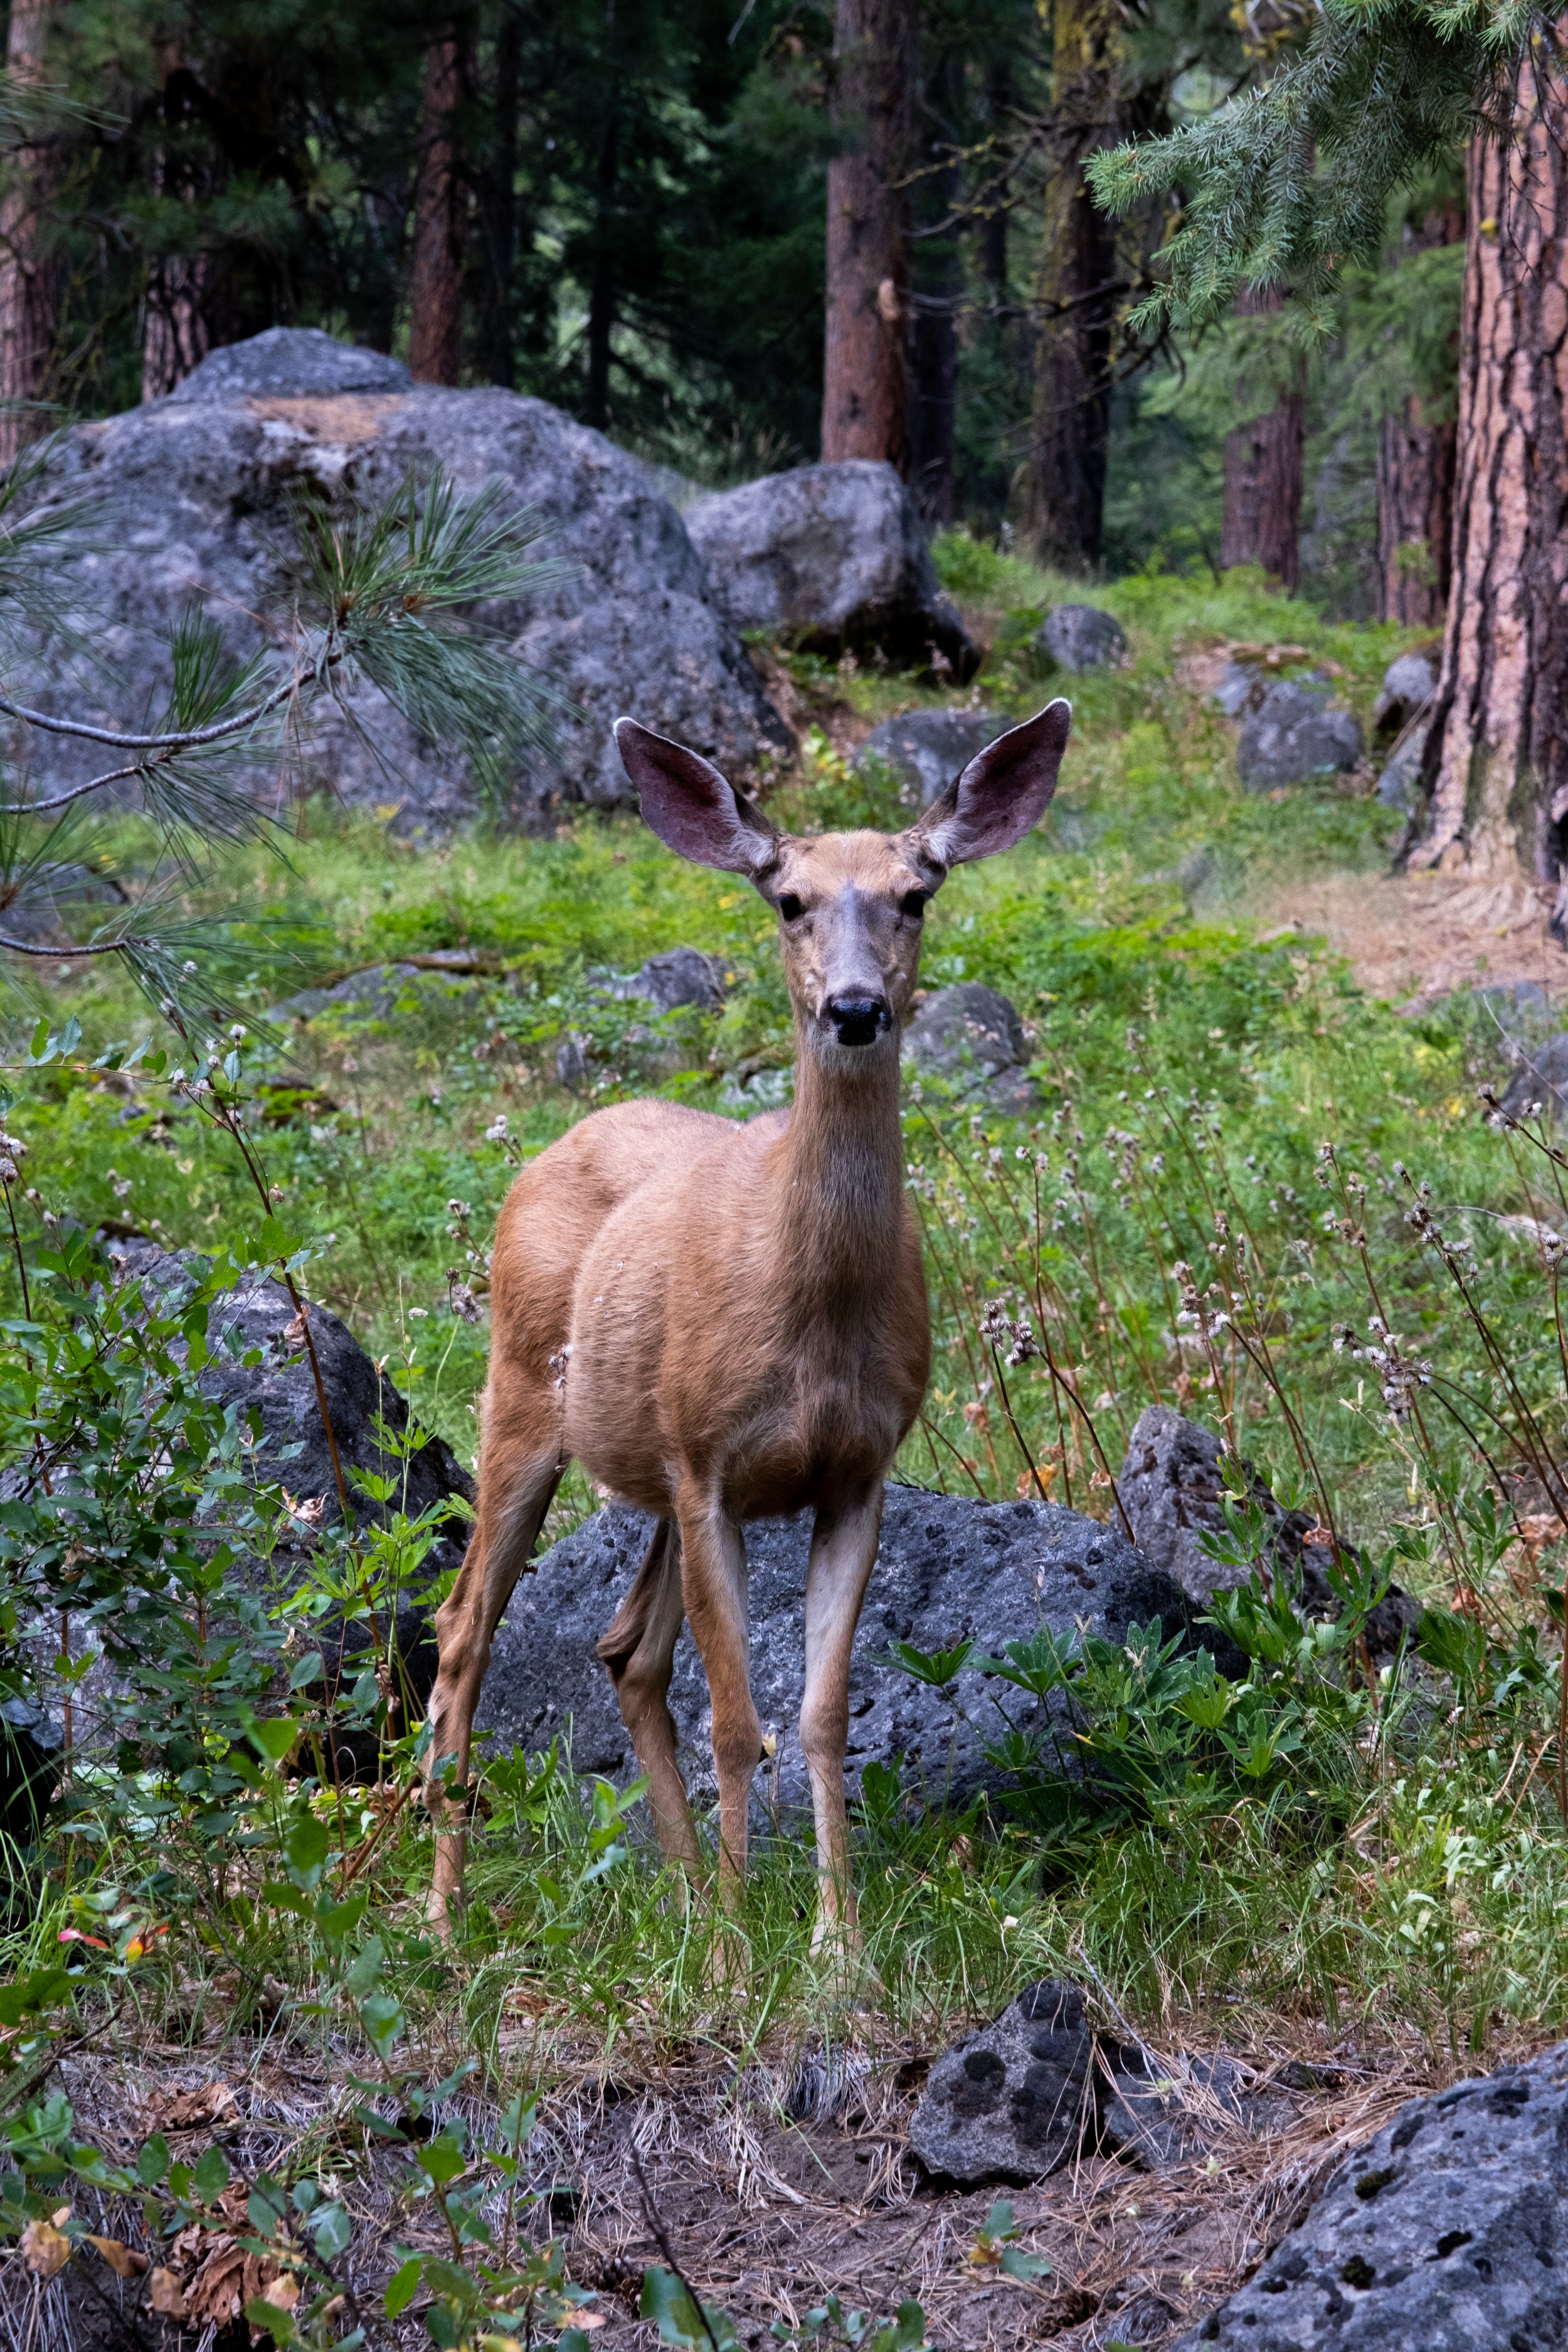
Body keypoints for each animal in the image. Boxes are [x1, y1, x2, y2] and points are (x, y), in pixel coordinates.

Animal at [422, 697, 1072, 1954]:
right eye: (789, 900)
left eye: (917, 893)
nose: (856, 1008)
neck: (809, 1304)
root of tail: (553, 1145)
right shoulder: (710, 1464)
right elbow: (736, 1713)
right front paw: (737, 1953)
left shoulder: (852, 1469)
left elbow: (819, 1712)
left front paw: (833, 1940)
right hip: (524, 1395)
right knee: (463, 1623)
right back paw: (446, 1908)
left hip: (651, 1462)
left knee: (626, 1650)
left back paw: (679, 1892)